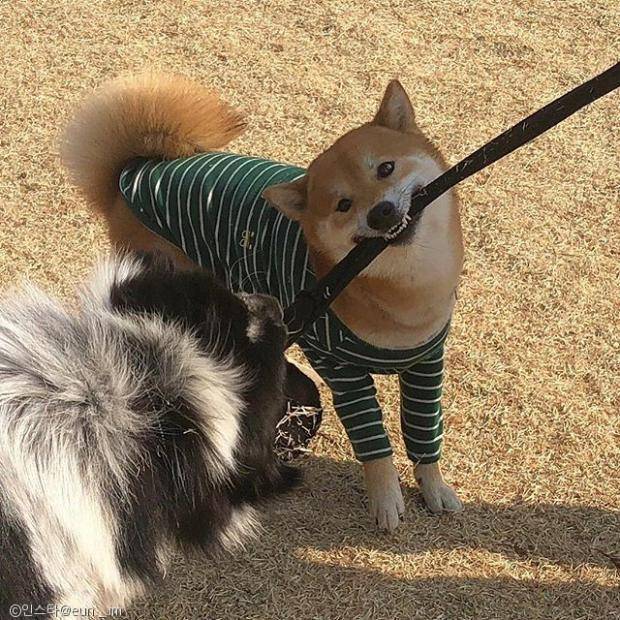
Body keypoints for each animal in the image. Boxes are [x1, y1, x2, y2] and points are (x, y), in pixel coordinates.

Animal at [61, 73, 464, 531]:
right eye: (343, 205)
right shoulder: (342, 371)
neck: (409, 291)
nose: (379, 212)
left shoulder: (426, 364)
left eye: (386, 168)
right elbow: (373, 443)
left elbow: (424, 432)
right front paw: (386, 500)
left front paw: (433, 487)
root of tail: (135, 171)